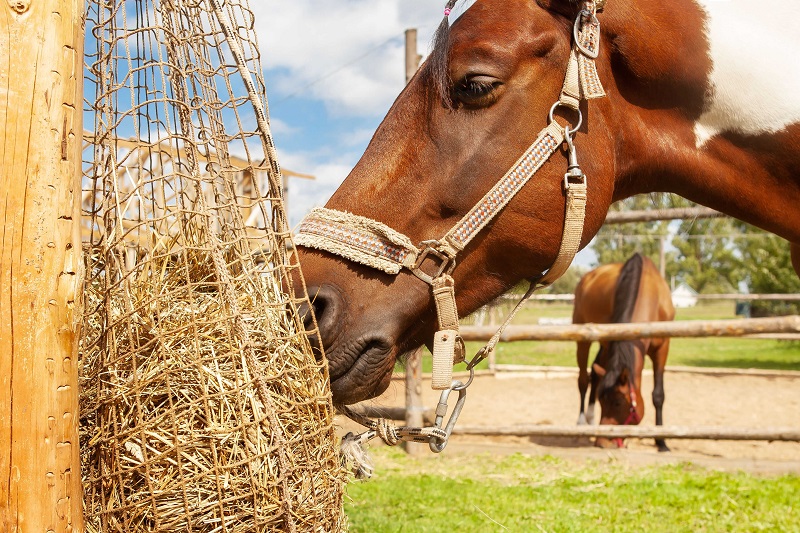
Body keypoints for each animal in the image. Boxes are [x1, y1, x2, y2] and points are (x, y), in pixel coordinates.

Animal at [573, 253, 675, 451]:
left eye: (618, 402)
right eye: (602, 401)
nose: (602, 443)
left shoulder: (662, 348)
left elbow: (658, 395)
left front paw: (661, 441)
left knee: (595, 375)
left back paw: (590, 419)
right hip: (584, 338)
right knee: (583, 380)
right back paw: (581, 423)